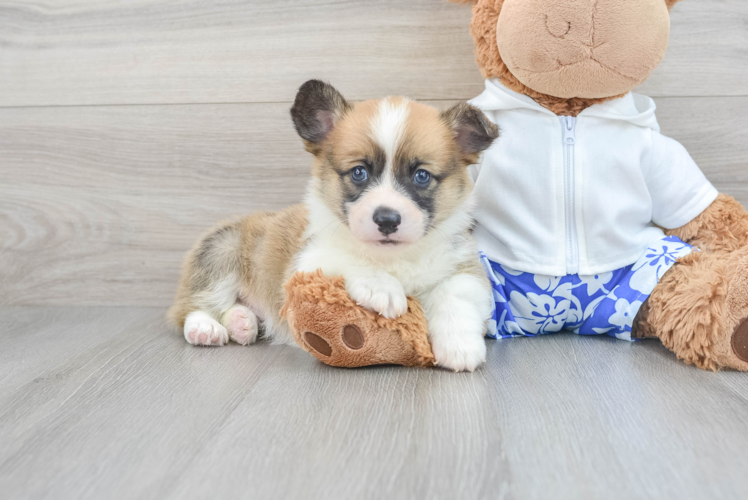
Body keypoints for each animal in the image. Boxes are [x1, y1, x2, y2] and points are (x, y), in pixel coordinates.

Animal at [168, 81, 496, 372]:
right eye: (359, 172)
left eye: (422, 176)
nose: (387, 220)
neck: (391, 257)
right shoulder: (306, 263)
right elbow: (347, 259)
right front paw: (382, 287)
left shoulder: (466, 270)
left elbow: (454, 294)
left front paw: (459, 346)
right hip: (220, 255)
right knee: (189, 307)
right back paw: (205, 328)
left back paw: (242, 323)